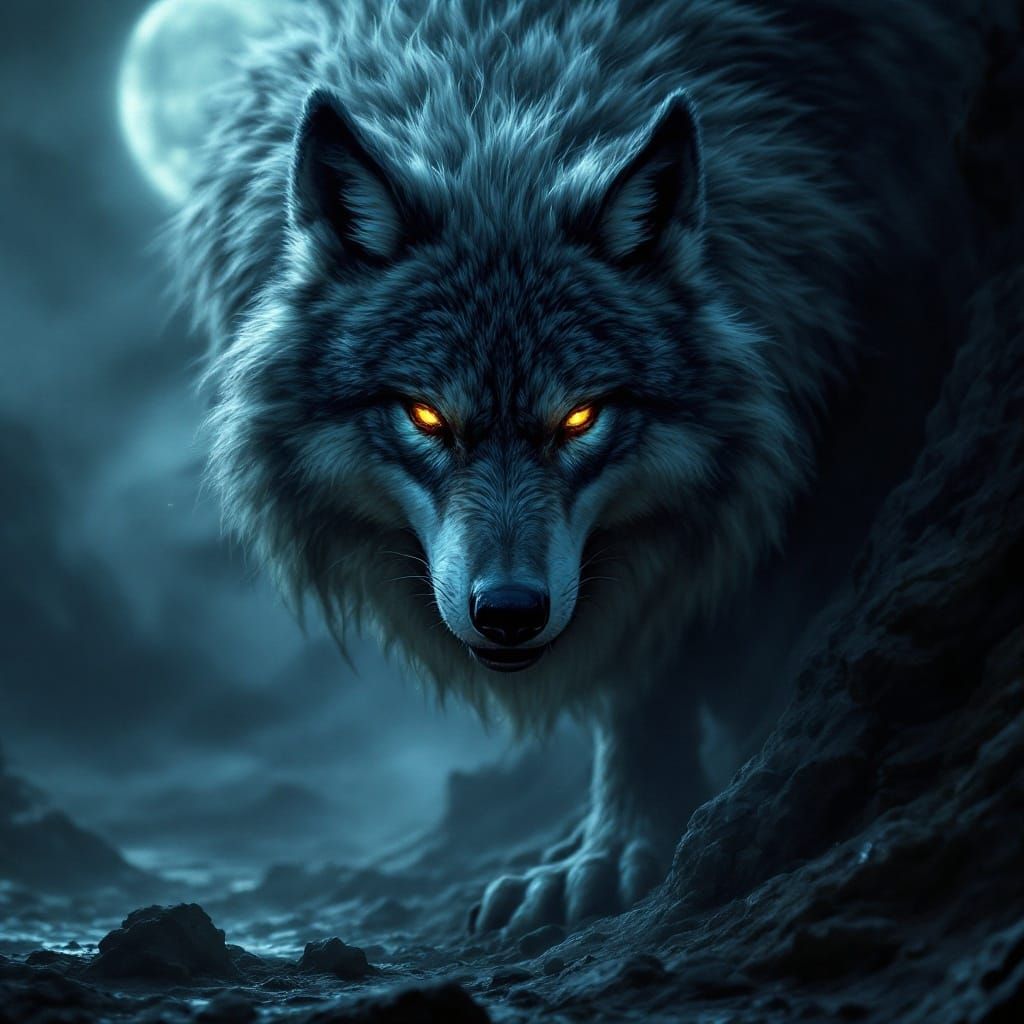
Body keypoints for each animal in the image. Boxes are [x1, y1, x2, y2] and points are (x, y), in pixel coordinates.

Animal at [176, 0, 979, 935]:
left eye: (580, 418)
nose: (509, 613)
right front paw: (610, 844)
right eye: (427, 416)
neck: (499, 86)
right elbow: (642, 677)